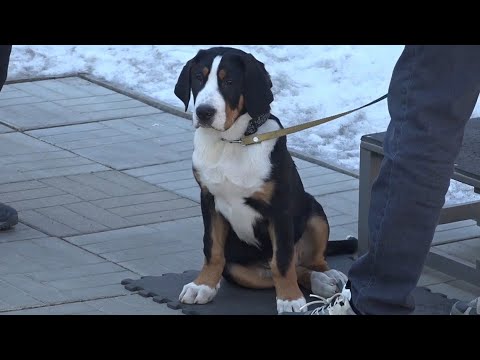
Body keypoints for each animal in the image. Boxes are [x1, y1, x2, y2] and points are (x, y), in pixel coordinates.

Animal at [174, 47, 354, 312]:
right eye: (198, 77)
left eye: (229, 82)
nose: (204, 112)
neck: (233, 141)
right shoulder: (209, 199)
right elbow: (212, 249)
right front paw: (202, 286)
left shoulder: (279, 210)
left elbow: (283, 260)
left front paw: (289, 300)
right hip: (237, 268)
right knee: (291, 270)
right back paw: (319, 282)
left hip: (314, 211)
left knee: (308, 260)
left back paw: (328, 276)